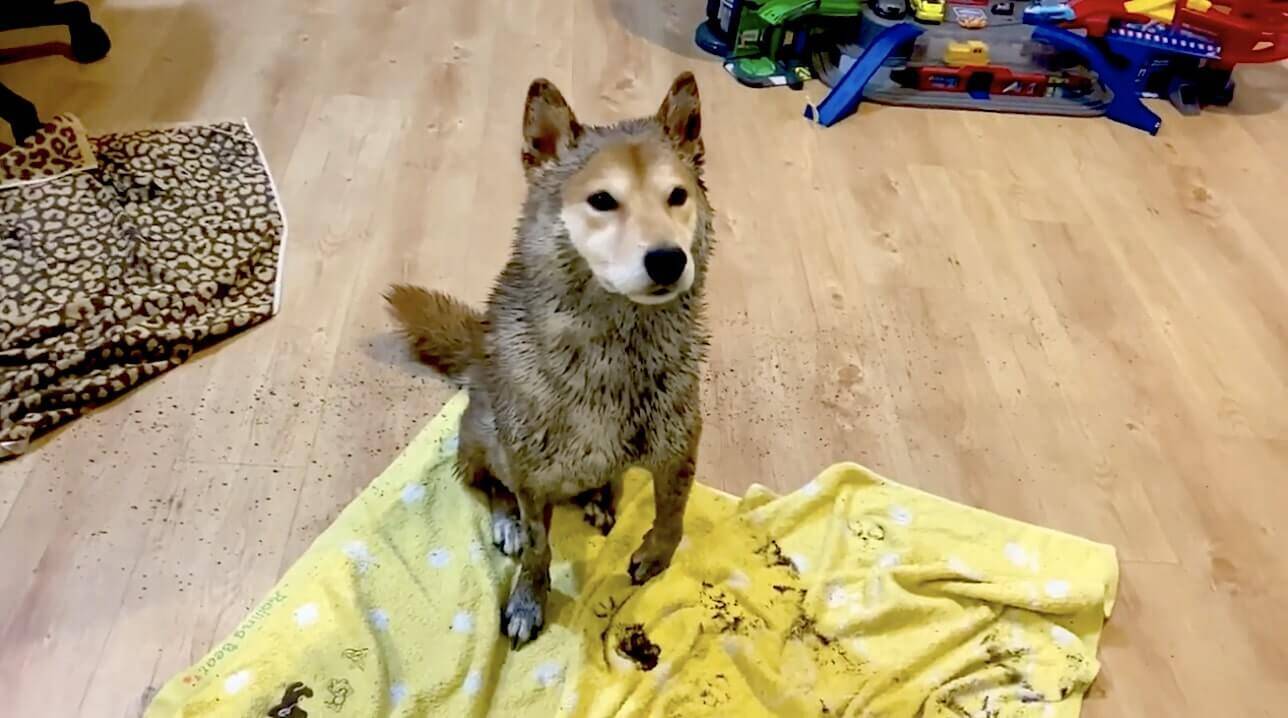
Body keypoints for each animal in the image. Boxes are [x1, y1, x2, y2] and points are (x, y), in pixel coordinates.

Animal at [386, 71, 710, 644]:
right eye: (602, 200)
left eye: (678, 196)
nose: (669, 260)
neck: (616, 346)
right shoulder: (530, 472)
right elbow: (538, 546)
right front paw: (528, 600)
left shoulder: (679, 444)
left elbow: (674, 513)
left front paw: (655, 556)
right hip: (484, 435)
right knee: (489, 485)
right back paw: (507, 522)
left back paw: (600, 498)